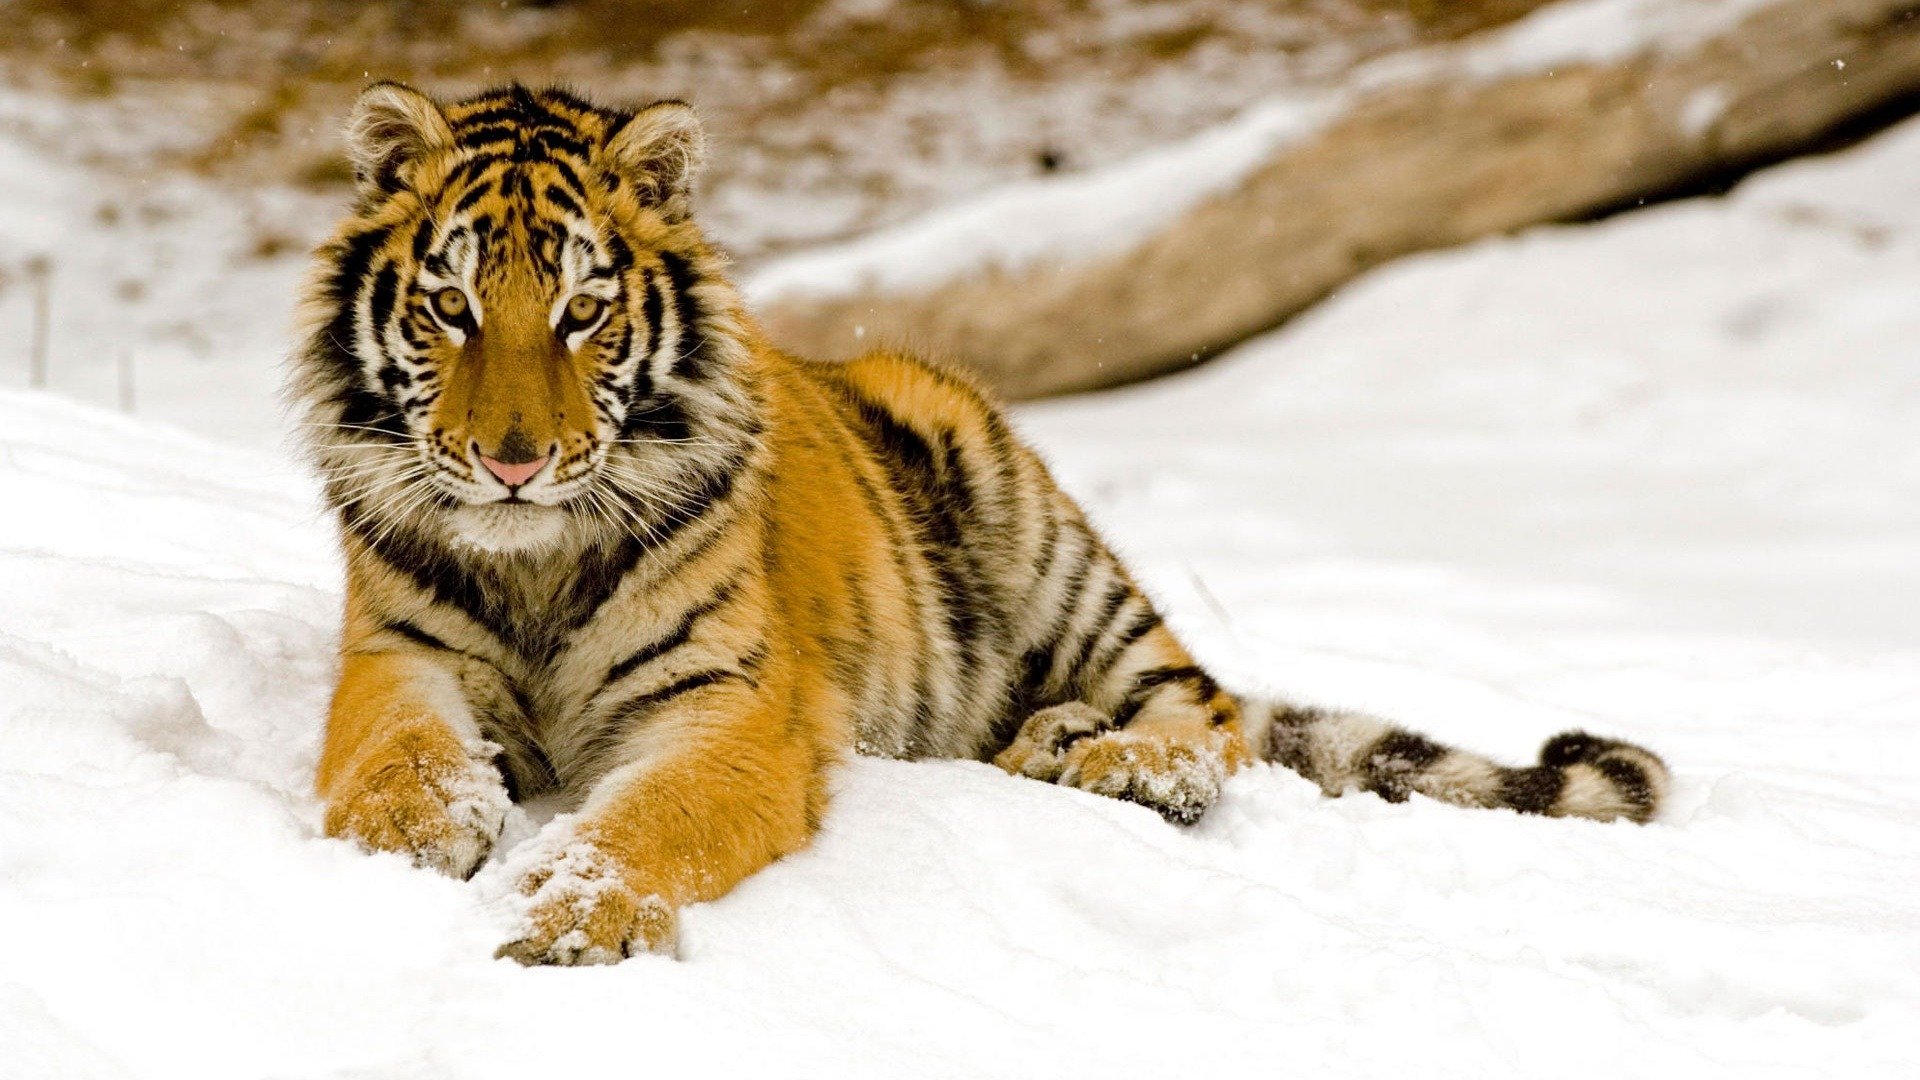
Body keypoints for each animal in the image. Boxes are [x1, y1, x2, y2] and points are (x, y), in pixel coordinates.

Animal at [291, 82, 1669, 966]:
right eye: (453, 308)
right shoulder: (398, 655)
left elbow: (649, 818)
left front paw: (572, 914)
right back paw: (1051, 743)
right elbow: (395, 754)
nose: (513, 462)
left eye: (582, 312)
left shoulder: (732, 708)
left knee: (1207, 711)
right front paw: (407, 842)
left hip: (1034, 524)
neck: (534, 560)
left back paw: (1122, 762)